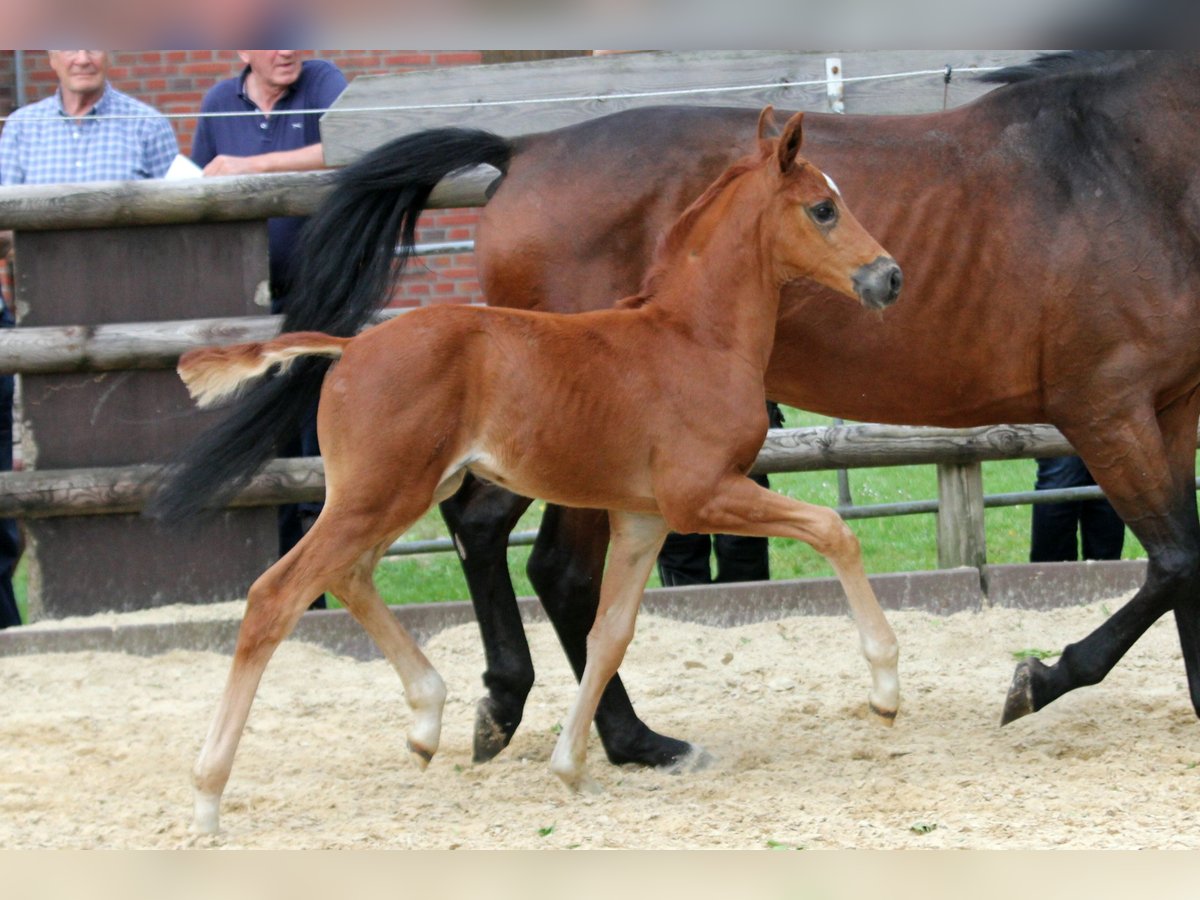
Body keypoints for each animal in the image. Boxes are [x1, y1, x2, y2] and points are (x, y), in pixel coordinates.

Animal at [180, 109, 902, 835]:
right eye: (823, 208)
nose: (889, 276)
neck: (695, 337)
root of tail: (350, 346)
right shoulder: (702, 496)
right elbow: (834, 529)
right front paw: (886, 689)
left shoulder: (643, 517)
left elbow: (611, 634)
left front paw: (571, 766)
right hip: (378, 495)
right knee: (276, 596)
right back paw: (208, 798)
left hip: (398, 494)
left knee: (349, 577)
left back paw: (427, 721)